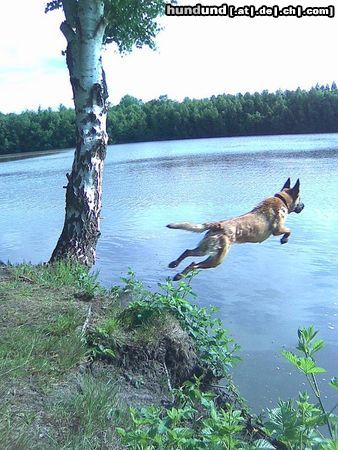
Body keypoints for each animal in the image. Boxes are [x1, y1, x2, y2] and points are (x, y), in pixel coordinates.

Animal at [166, 178, 304, 280]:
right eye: (300, 199)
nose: (303, 206)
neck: (282, 199)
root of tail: (218, 225)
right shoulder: (278, 229)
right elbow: (289, 230)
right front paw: (284, 240)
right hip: (217, 259)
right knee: (194, 264)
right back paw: (180, 275)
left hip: (205, 250)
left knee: (188, 252)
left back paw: (175, 265)